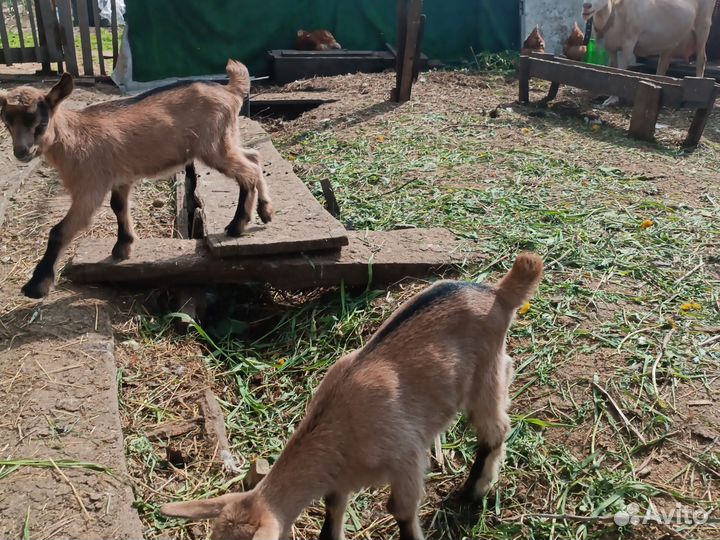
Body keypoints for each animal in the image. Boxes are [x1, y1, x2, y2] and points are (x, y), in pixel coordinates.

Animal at [0, 59, 273, 299]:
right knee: (254, 157)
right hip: (226, 139)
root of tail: (230, 91)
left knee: (248, 171)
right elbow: (118, 207)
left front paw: (36, 286)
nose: (22, 152)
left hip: (214, 145)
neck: (74, 138)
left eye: (40, 123)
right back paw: (265, 211)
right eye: (7, 122)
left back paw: (237, 225)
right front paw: (123, 247)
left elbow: (59, 231)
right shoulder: (120, 178)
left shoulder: (90, 187)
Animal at [160, 253, 544, 540]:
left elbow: (402, 512)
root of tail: (497, 293)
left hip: (485, 376)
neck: (339, 423)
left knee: (494, 430)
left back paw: (472, 492)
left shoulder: (406, 457)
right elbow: (333, 510)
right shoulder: (338, 481)